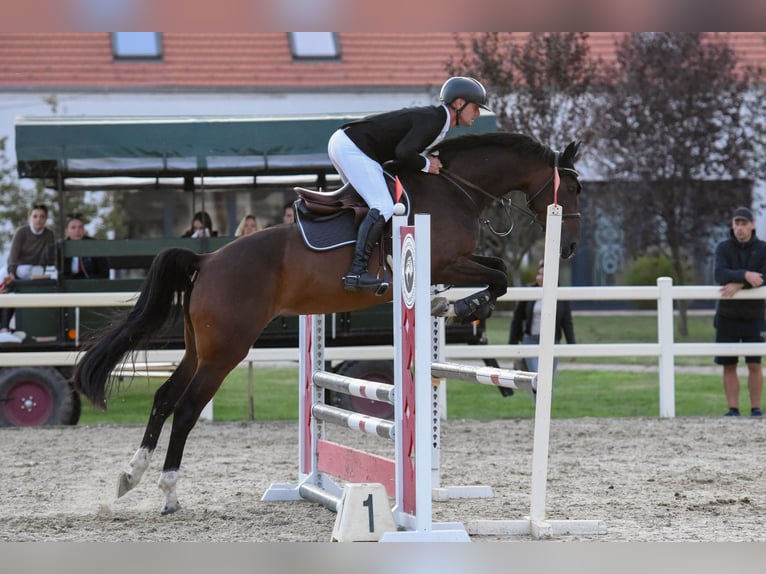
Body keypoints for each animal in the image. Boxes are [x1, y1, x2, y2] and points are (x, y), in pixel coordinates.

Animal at [73, 133, 584, 516]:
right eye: (577, 189)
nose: (570, 248)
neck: (455, 187)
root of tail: (208, 259)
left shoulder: (450, 264)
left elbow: (497, 269)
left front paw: (452, 307)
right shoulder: (445, 263)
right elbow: (499, 274)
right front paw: (457, 308)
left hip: (200, 348)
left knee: (163, 399)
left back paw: (130, 475)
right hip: (226, 352)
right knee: (185, 410)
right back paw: (169, 493)